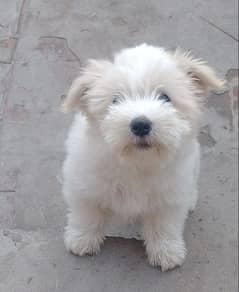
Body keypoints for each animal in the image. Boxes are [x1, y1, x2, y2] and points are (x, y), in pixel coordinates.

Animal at [61, 44, 224, 272]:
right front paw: (82, 239)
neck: (137, 162)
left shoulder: (170, 196)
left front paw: (166, 251)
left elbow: (164, 225)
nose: (140, 124)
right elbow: (87, 212)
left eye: (165, 97)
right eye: (115, 100)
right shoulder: (84, 184)